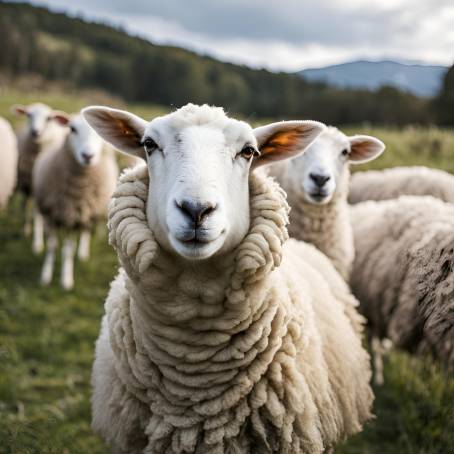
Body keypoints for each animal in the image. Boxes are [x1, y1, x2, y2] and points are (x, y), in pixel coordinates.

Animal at [11, 101, 68, 254]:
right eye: (28, 115)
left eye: (48, 118)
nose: (35, 132)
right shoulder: (29, 184)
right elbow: (28, 208)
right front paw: (29, 230)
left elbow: (38, 214)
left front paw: (38, 242)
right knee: (25, 203)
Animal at [33, 113, 119, 290]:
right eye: (72, 129)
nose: (87, 156)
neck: (76, 192)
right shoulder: (52, 214)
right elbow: (51, 247)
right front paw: (46, 275)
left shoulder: (74, 219)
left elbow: (67, 250)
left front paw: (66, 279)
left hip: (88, 212)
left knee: (85, 231)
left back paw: (82, 253)